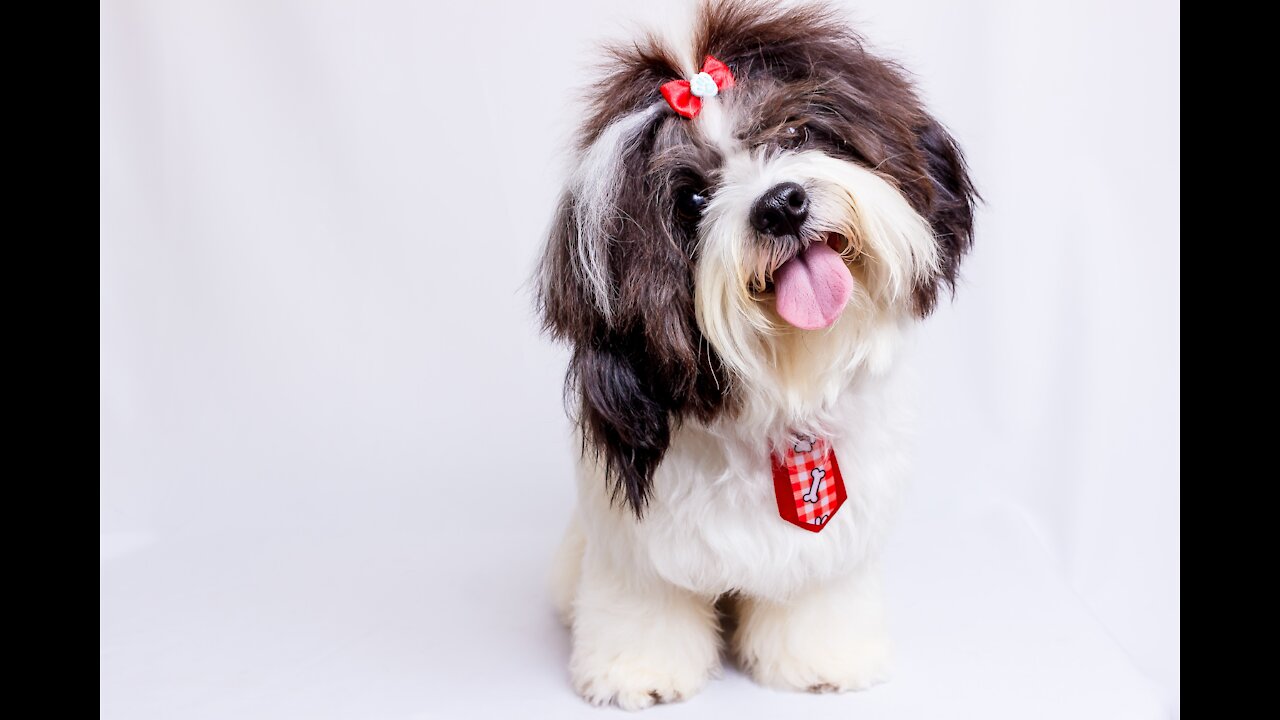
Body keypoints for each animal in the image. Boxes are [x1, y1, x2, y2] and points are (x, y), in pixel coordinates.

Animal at [535, 0, 972, 707]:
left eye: (795, 131)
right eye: (691, 198)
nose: (780, 205)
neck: (781, 391)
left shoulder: (831, 544)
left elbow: (818, 597)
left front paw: (824, 660)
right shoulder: (632, 543)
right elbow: (643, 601)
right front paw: (638, 672)